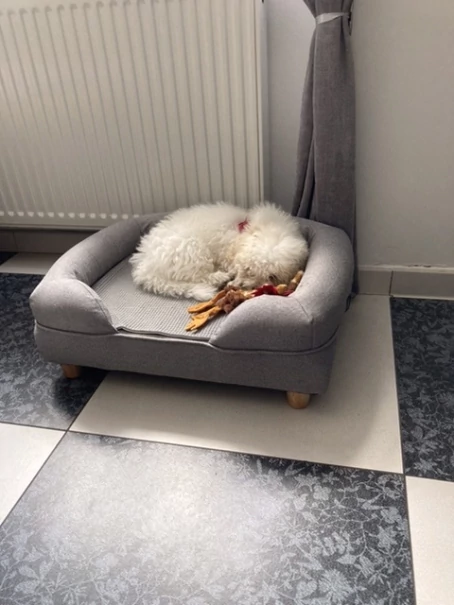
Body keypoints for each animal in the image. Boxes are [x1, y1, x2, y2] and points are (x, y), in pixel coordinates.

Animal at [130, 202, 309, 300]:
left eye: (272, 277)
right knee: (199, 276)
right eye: (248, 269)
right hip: (192, 249)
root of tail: (145, 266)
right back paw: (221, 276)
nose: (244, 287)